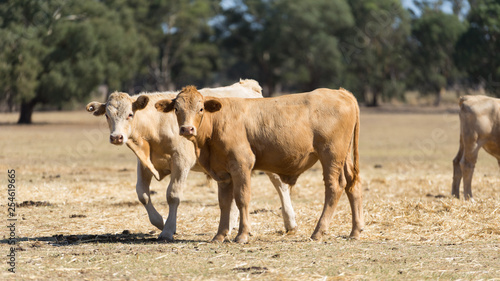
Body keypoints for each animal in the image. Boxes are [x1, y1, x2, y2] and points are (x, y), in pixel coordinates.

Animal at [86, 79, 296, 241]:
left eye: (130, 114)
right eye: (107, 115)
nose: (117, 137)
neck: (157, 125)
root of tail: (248, 86)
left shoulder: (181, 161)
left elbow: (173, 195)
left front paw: (168, 230)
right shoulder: (145, 162)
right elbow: (142, 194)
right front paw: (160, 222)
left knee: (280, 185)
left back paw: (290, 222)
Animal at [155, 84, 364, 242]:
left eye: (200, 109)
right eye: (177, 109)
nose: (187, 129)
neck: (216, 125)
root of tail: (341, 92)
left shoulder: (241, 164)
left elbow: (241, 198)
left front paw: (242, 235)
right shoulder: (222, 172)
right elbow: (224, 203)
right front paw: (220, 235)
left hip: (331, 154)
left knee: (335, 187)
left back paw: (318, 231)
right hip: (344, 157)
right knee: (352, 185)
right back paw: (355, 231)